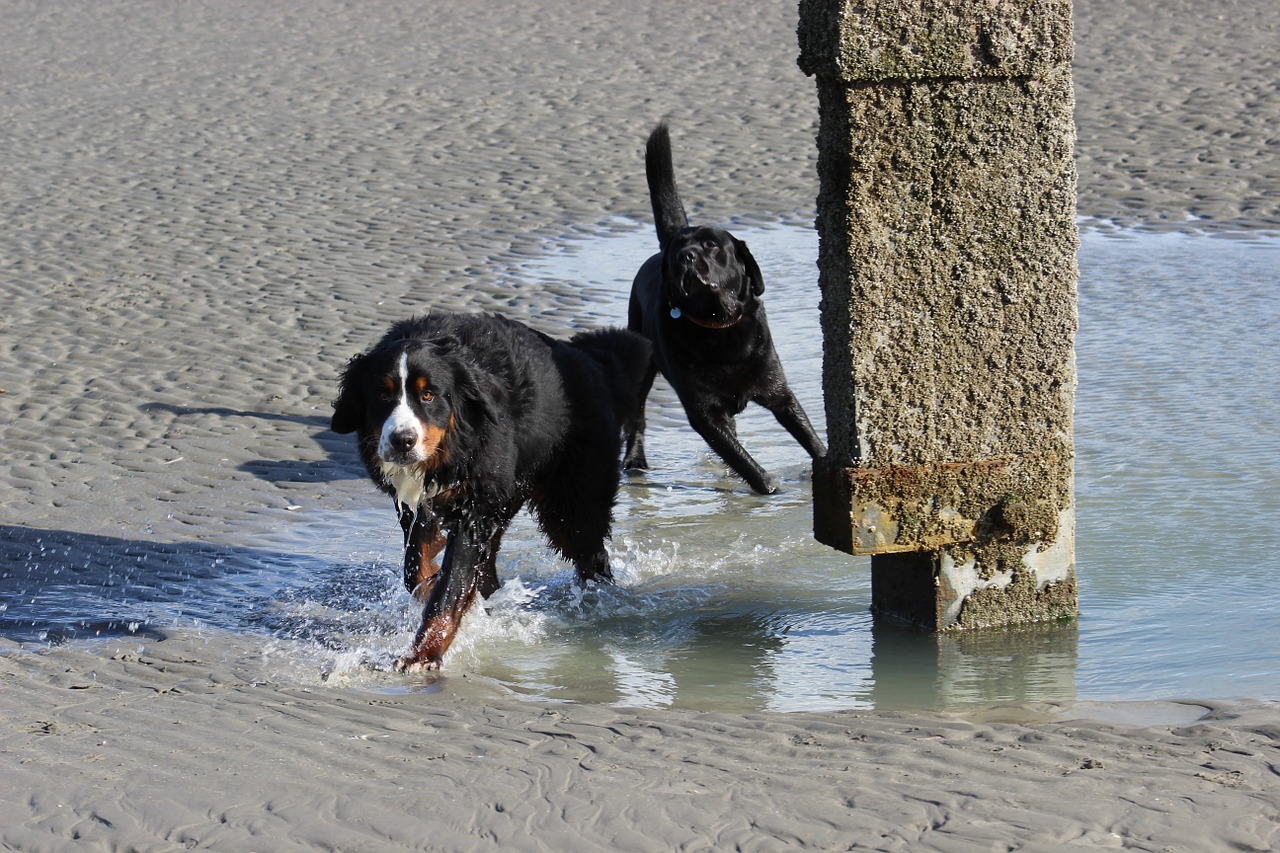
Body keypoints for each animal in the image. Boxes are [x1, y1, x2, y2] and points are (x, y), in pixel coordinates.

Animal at [332, 312, 650, 671]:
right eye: (382, 395)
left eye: (428, 395)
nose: (403, 440)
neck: (451, 450)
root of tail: (595, 363)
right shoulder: (422, 505)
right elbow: (417, 568)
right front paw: (431, 585)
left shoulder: (472, 512)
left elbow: (448, 591)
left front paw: (422, 654)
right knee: (489, 569)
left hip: (572, 506)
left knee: (592, 559)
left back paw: (597, 605)